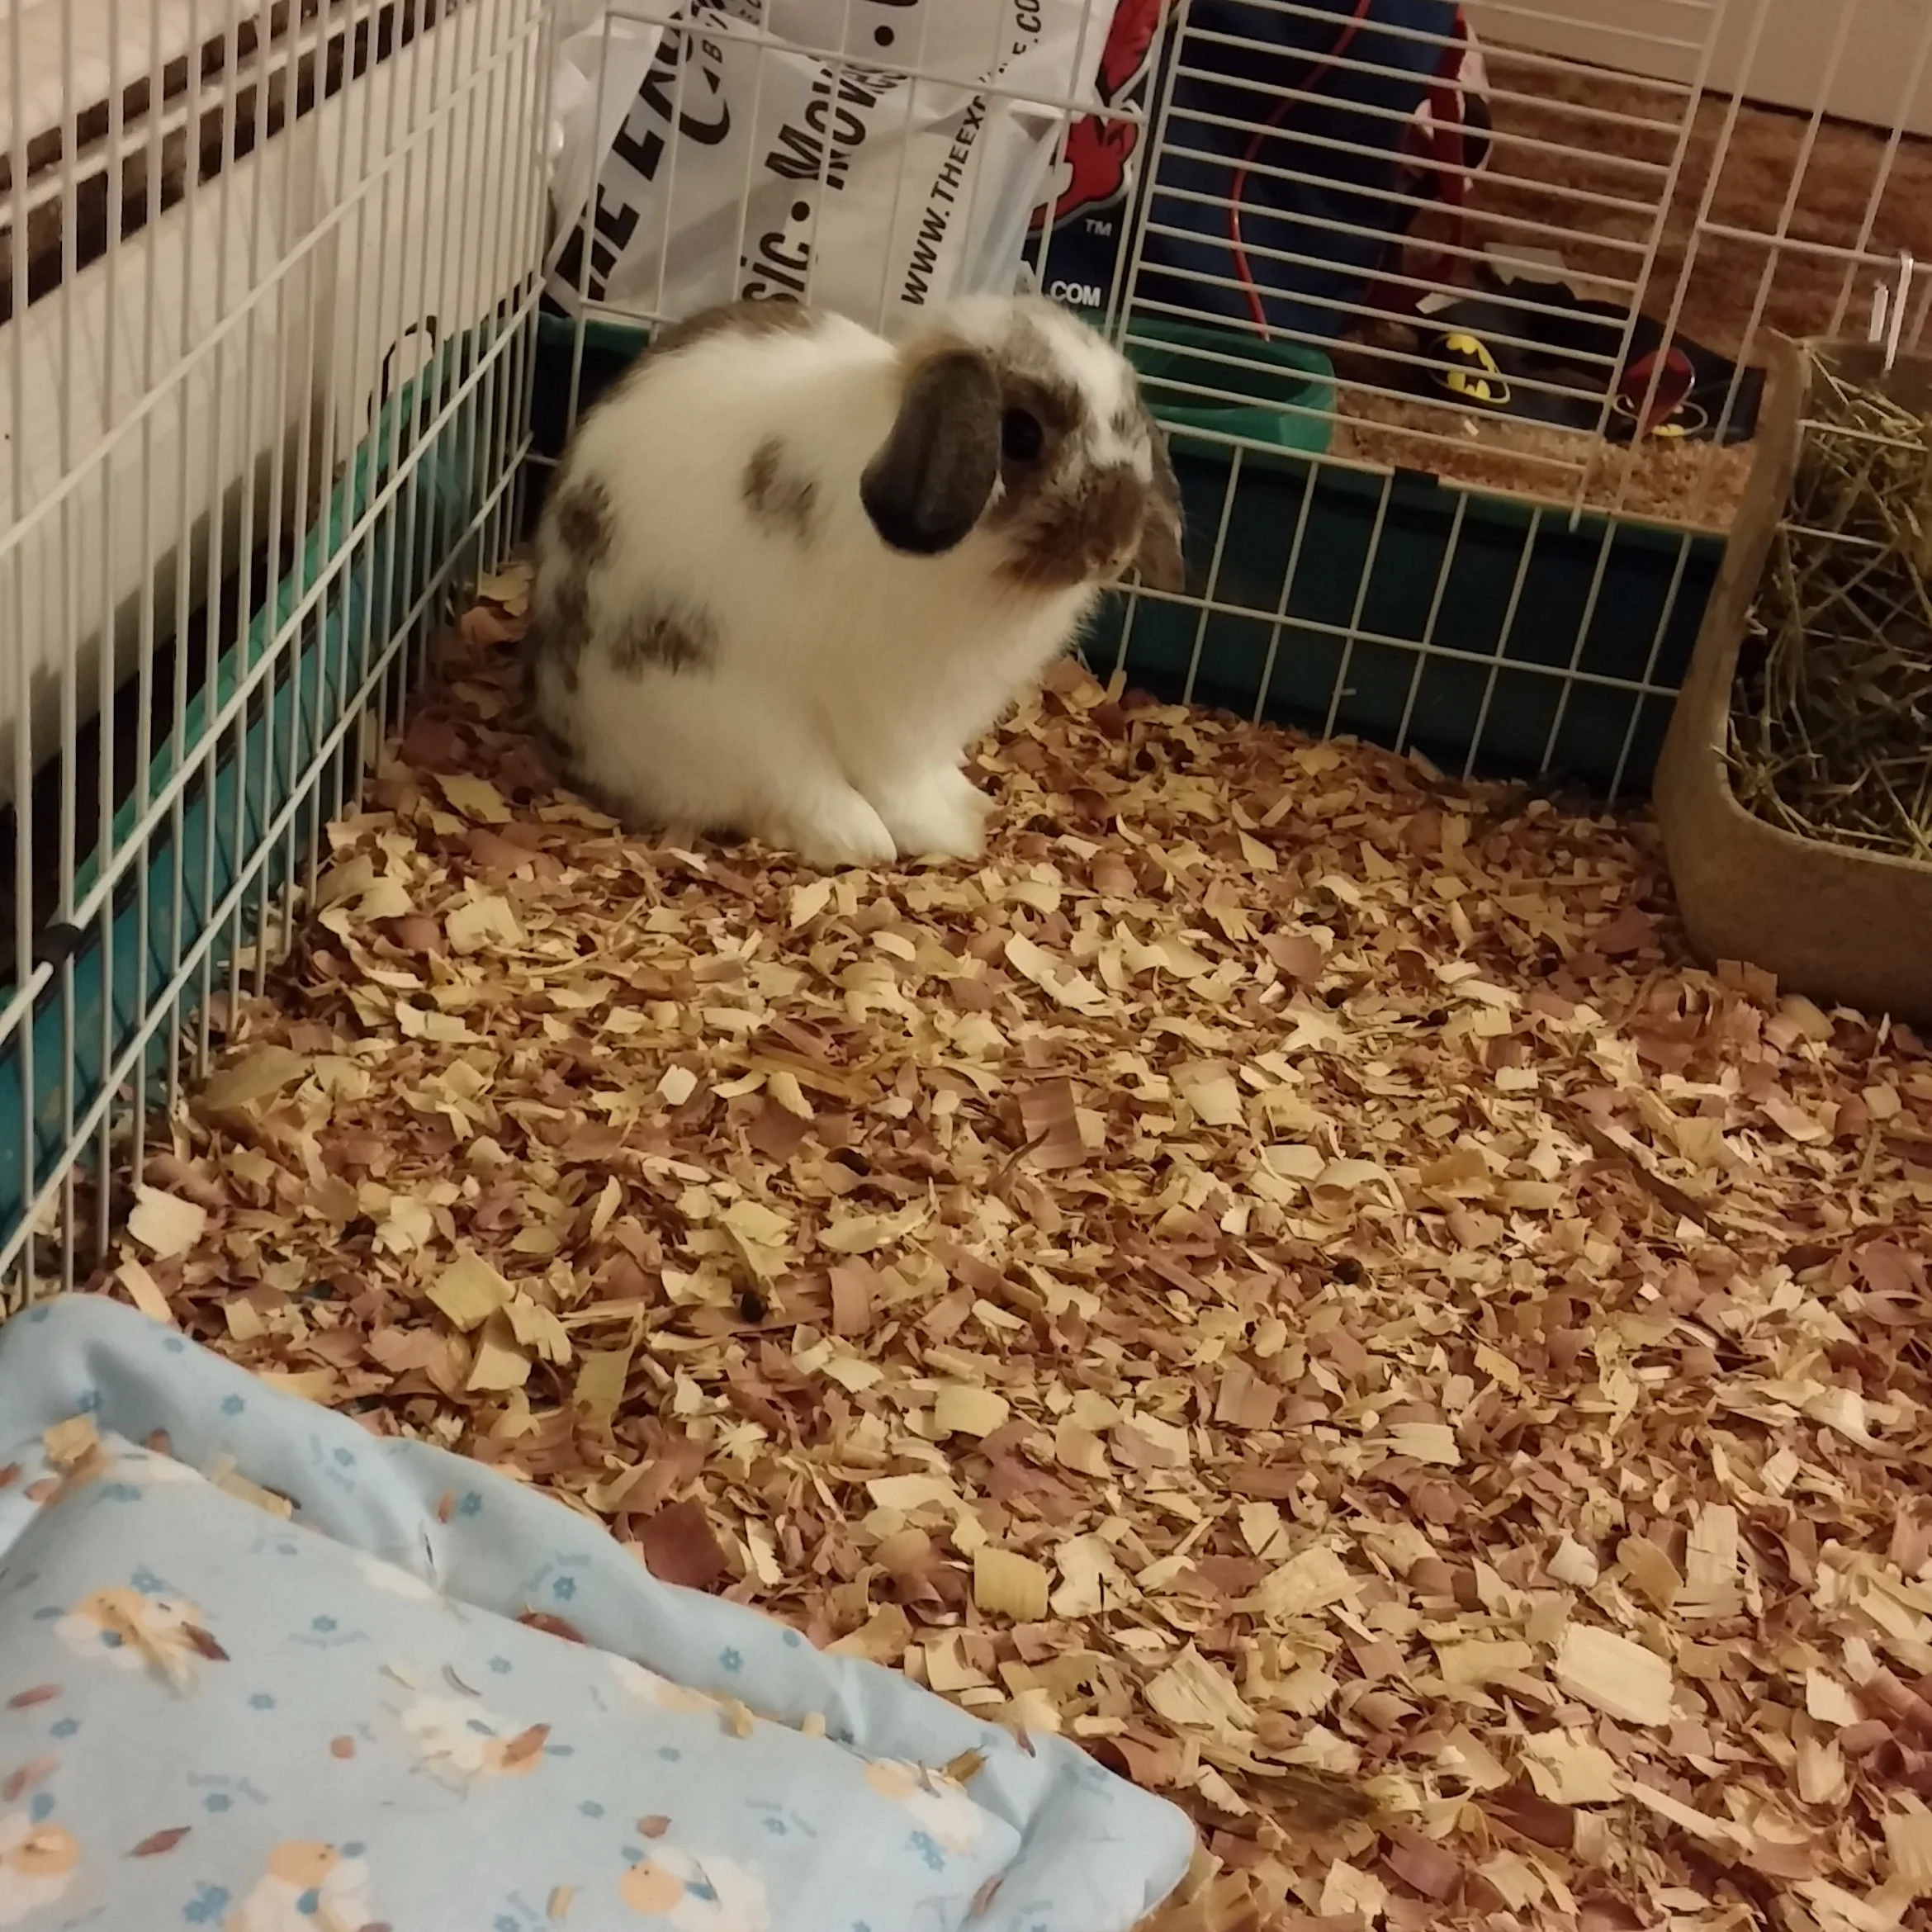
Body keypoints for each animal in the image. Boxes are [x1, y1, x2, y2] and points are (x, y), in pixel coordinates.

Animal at [525, 293, 1184, 868]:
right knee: (788, 788)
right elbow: (897, 787)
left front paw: (967, 805)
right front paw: (949, 832)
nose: (1113, 548)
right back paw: (859, 838)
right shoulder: (893, 716)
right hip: (721, 713)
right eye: (1020, 435)